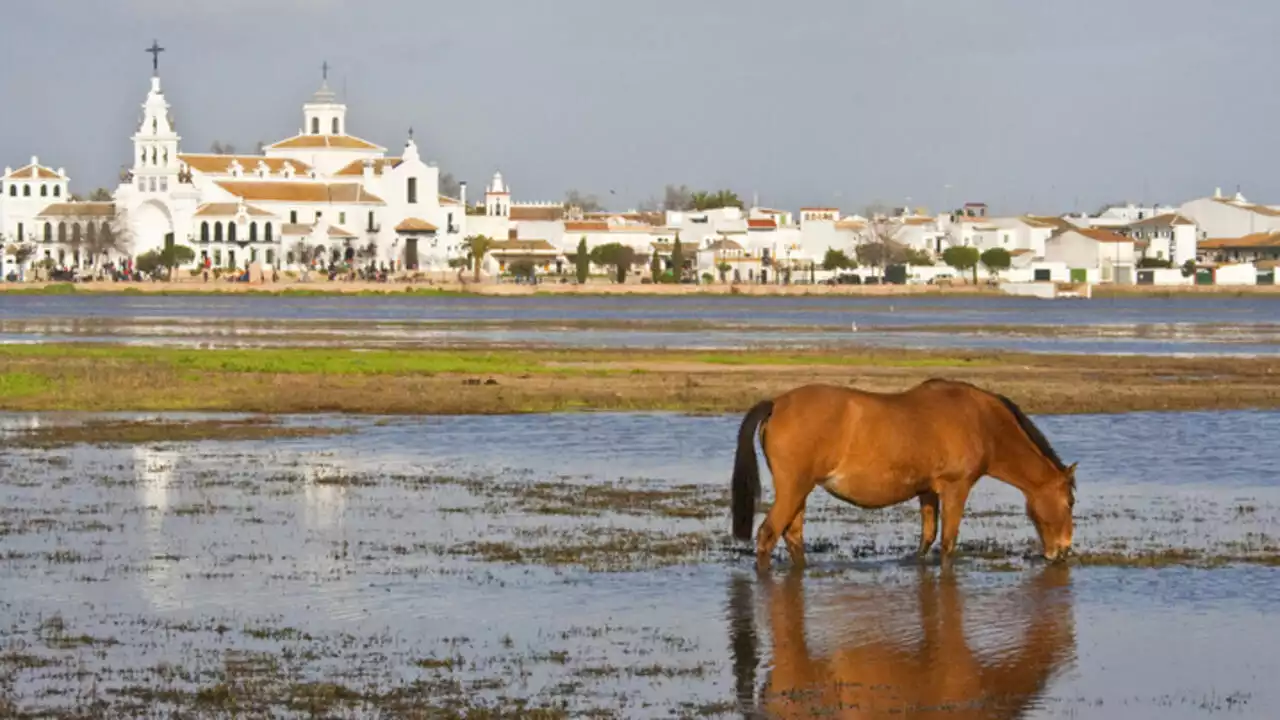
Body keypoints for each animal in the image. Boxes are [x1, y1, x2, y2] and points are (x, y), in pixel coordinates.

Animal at [732, 379, 1080, 563]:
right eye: (1070, 502)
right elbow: (948, 543)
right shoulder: (956, 488)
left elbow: (927, 538)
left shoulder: (927, 491)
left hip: (800, 491)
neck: (983, 422)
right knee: (767, 535)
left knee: (792, 536)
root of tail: (776, 403)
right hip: (793, 488)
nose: (1063, 549)